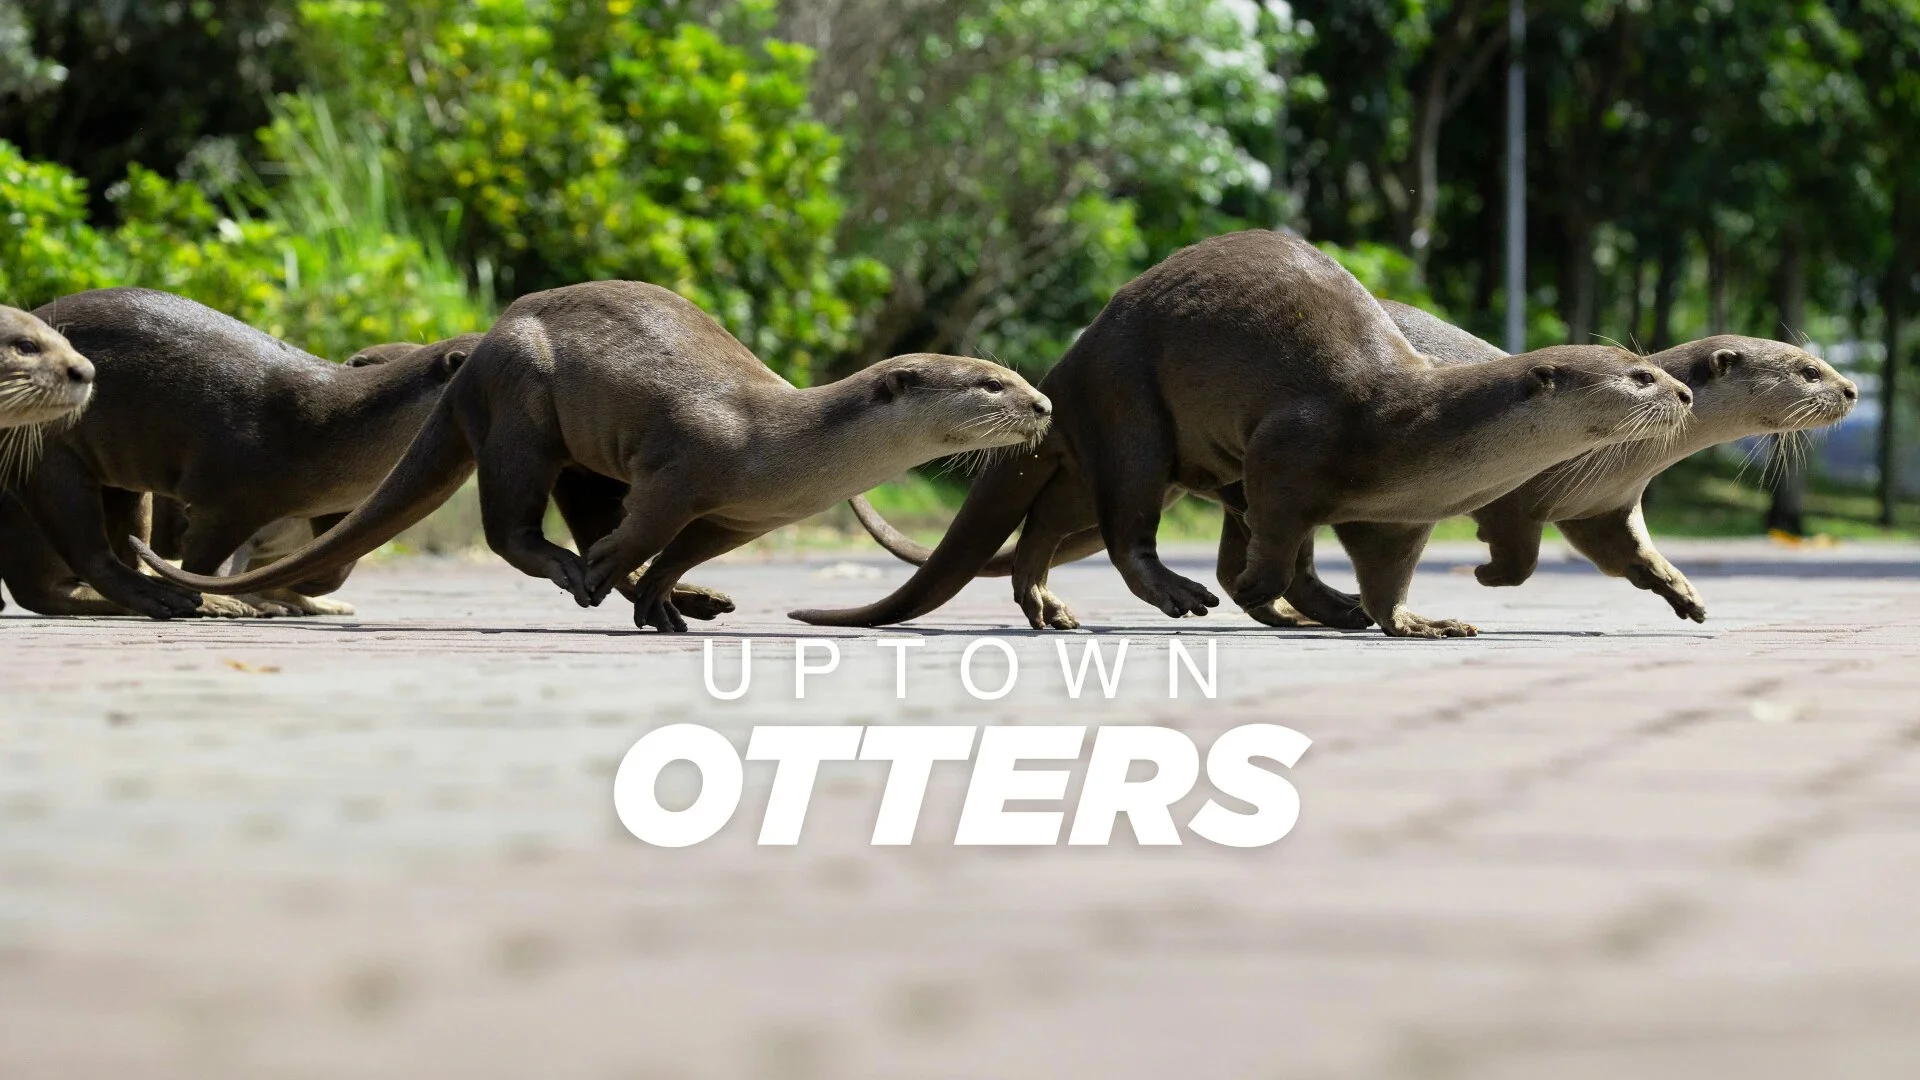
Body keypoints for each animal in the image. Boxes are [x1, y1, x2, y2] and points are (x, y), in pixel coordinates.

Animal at [134, 280, 1052, 631]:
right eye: (988, 383)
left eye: (1013, 376)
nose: (1043, 405)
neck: (780, 447)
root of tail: (484, 347)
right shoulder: (684, 471)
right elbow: (647, 528)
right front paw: (620, 579)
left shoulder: (745, 516)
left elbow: (683, 549)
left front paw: (663, 598)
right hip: (523, 407)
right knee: (510, 527)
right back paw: (580, 573)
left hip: (578, 452)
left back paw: (690, 600)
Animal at [793, 230, 1694, 637]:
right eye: (1637, 377)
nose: (1685, 390)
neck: (1414, 427)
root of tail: (1068, 364)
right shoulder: (1292, 445)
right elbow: (1280, 526)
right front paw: (1267, 589)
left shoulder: (1399, 518)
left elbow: (1386, 577)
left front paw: (1414, 622)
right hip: (1130, 411)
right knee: (1127, 527)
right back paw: (1186, 594)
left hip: (1114, 453)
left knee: (1051, 521)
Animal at [844, 300, 1856, 627]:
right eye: (1805, 368)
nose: (1848, 387)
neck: (1616, 464)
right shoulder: (1535, 494)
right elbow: (1518, 548)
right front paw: (1485, 579)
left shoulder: (1608, 503)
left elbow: (1633, 555)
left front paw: (1685, 593)